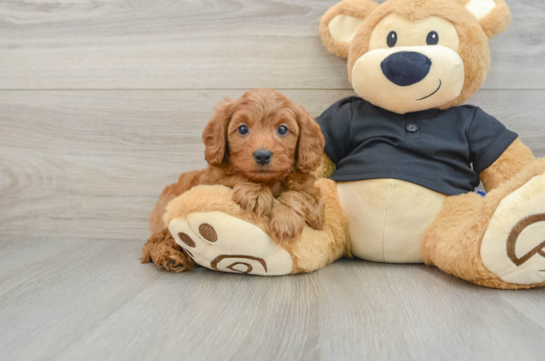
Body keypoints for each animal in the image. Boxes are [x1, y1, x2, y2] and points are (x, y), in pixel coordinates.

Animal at [142, 88, 326, 272]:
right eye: (243, 129)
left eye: (282, 129)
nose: (262, 155)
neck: (269, 181)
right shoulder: (211, 182)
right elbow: (233, 176)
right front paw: (256, 192)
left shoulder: (317, 210)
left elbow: (298, 195)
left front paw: (285, 219)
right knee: (155, 241)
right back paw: (169, 257)